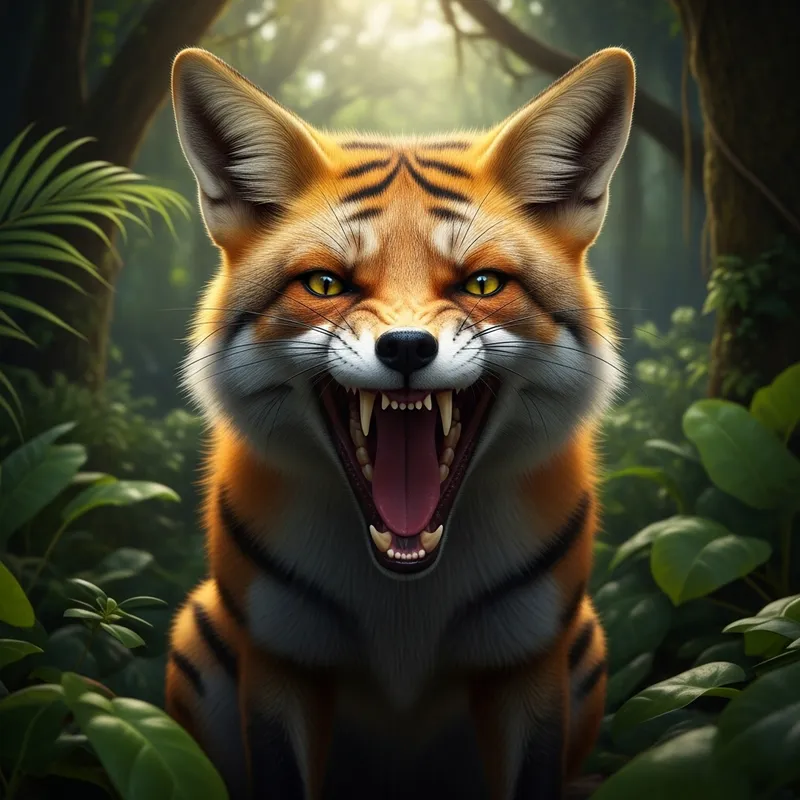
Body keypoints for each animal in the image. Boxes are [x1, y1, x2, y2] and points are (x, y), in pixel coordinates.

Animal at [165, 44, 634, 800]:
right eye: (326, 284)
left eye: (482, 284)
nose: (409, 347)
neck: (404, 606)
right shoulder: (279, 663)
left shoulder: (530, 664)